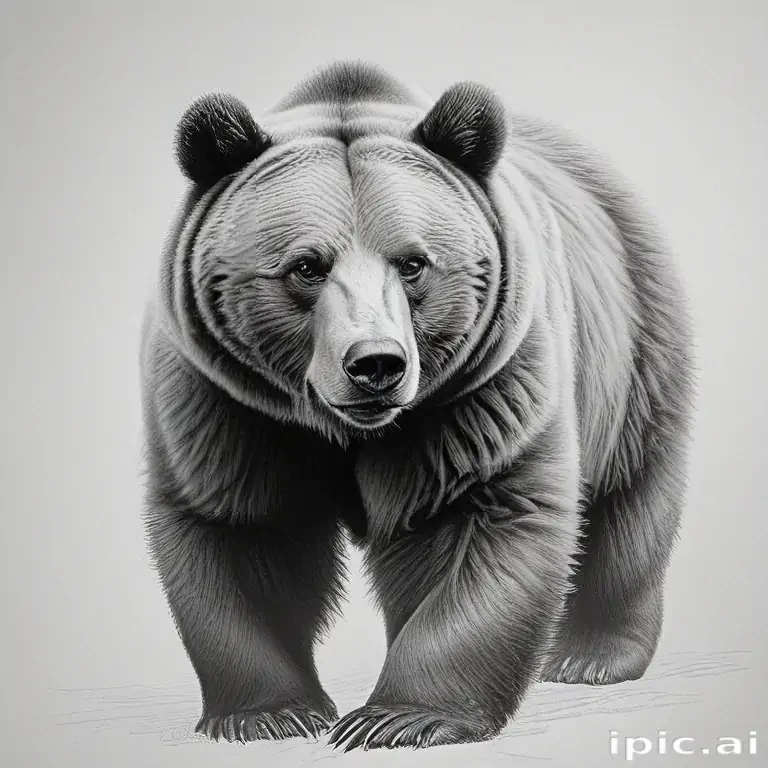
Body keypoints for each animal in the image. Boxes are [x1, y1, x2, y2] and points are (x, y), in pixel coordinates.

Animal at [139, 59, 695, 751]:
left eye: (413, 263)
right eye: (305, 266)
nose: (376, 363)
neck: (346, 428)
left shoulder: (480, 389)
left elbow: (483, 513)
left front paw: (398, 717)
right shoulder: (229, 401)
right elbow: (241, 526)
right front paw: (267, 713)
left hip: (634, 338)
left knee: (630, 493)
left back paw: (590, 654)